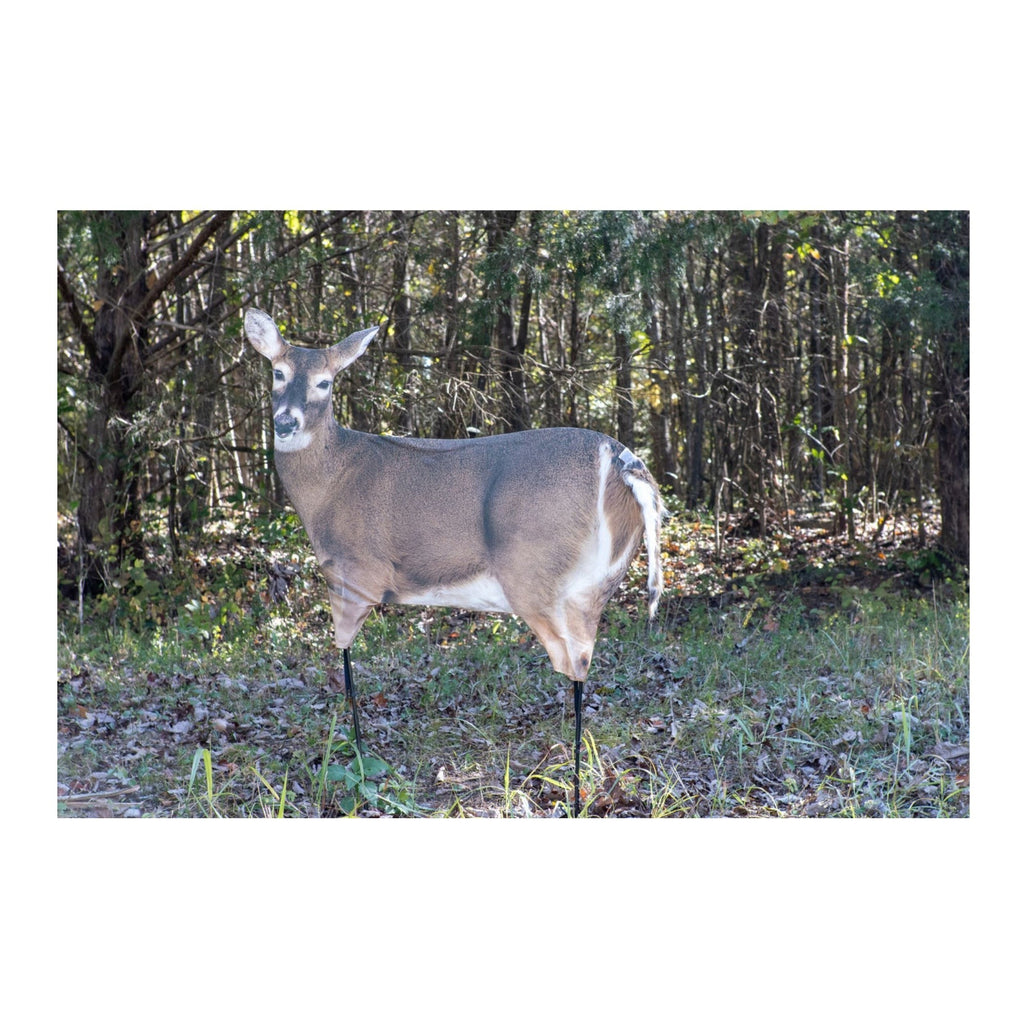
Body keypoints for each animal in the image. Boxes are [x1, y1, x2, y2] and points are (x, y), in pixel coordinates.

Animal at [244, 307, 663, 816]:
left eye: (325, 382)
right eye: (278, 372)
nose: (286, 422)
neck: (329, 482)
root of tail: (623, 461)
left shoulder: (352, 570)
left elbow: (346, 672)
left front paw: (360, 770)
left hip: (538, 573)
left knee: (576, 663)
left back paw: (576, 791)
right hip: (597, 580)